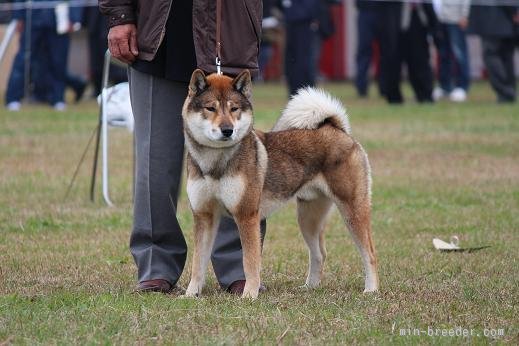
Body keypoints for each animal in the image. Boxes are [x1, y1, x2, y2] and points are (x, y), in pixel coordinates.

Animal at [182, 69, 378, 298]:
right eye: (210, 108)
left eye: (234, 109)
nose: (227, 129)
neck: (215, 163)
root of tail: (338, 129)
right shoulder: (204, 216)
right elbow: (198, 262)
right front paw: (190, 294)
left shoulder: (246, 215)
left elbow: (249, 261)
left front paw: (249, 295)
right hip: (308, 218)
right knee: (319, 253)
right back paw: (310, 287)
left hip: (352, 211)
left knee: (370, 253)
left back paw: (371, 289)